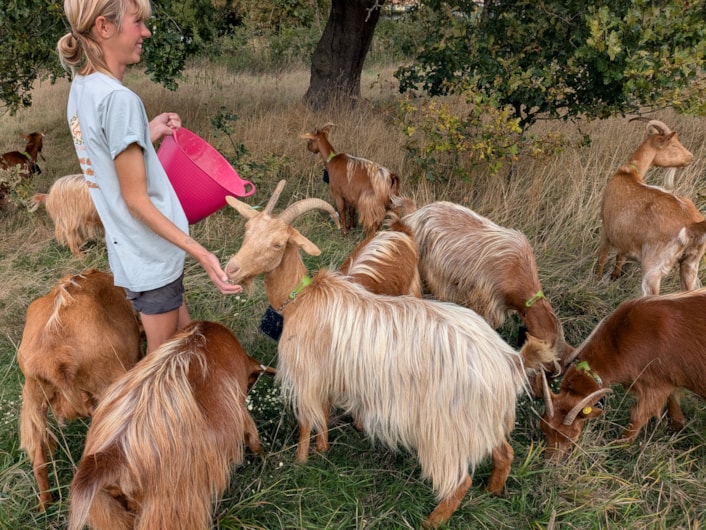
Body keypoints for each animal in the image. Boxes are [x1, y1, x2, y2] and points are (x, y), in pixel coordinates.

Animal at [540, 289, 706, 462]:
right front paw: (677, 426)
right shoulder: (669, 379)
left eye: (570, 436)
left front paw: (619, 446)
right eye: (543, 429)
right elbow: (672, 398)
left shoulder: (655, 386)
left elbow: (638, 415)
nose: (551, 462)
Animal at [595, 118, 704, 295]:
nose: (691, 157)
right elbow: (620, 257)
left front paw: (597, 279)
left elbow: (602, 257)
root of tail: (692, 225)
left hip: (653, 269)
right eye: (674, 145)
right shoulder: (624, 238)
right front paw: (614, 277)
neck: (630, 173)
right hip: (690, 265)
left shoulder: (606, 226)